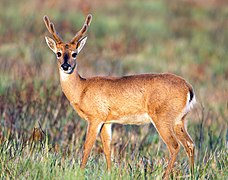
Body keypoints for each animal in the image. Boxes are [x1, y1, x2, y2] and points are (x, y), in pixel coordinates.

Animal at [42, 14, 196, 179]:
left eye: (74, 53)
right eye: (58, 53)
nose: (66, 66)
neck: (82, 89)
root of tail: (188, 88)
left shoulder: (95, 117)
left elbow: (87, 146)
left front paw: (79, 172)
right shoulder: (107, 121)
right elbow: (107, 148)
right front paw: (109, 172)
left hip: (163, 117)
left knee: (174, 146)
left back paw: (165, 176)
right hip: (180, 120)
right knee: (190, 144)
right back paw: (193, 174)